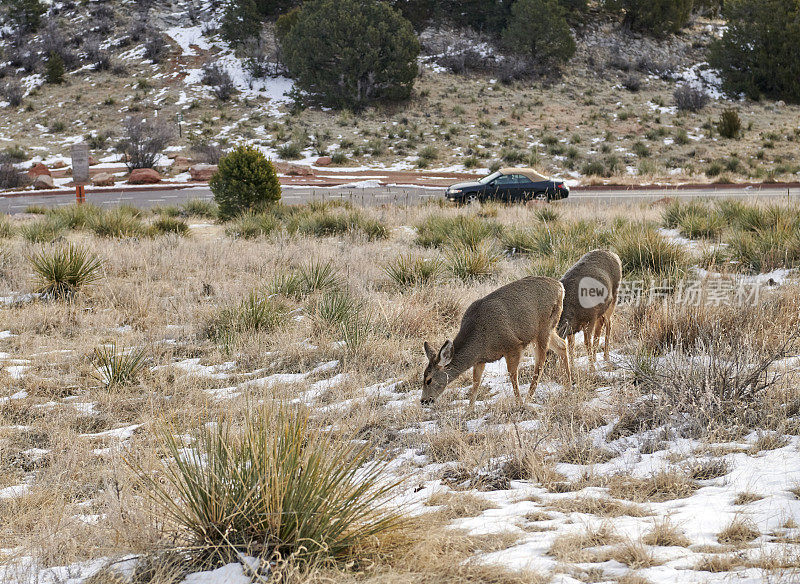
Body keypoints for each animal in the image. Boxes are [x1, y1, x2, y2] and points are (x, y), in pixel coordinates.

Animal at [422, 274, 572, 406]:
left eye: (429, 380)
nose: (423, 401)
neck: (479, 339)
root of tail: (560, 287)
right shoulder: (480, 359)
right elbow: (476, 382)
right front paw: (469, 409)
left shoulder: (513, 345)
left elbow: (512, 376)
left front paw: (519, 403)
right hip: (547, 329)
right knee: (562, 345)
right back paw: (569, 385)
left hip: (543, 327)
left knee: (540, 362)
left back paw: (529, 398)